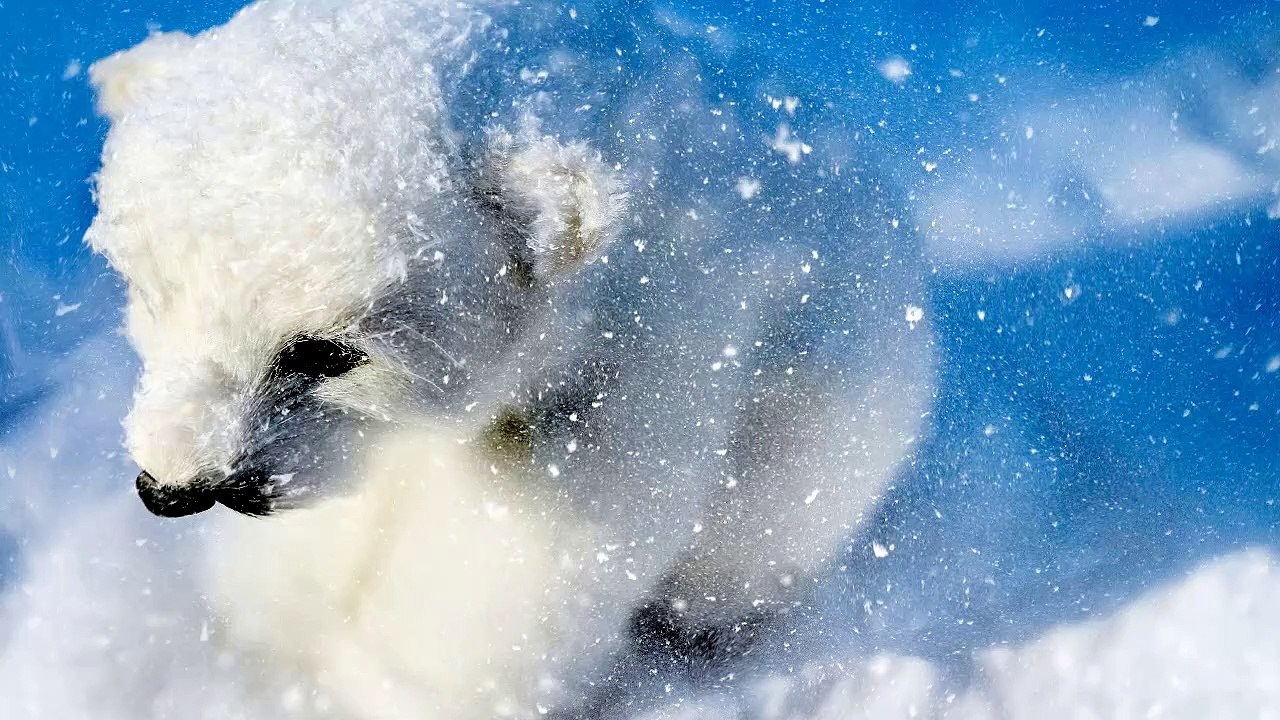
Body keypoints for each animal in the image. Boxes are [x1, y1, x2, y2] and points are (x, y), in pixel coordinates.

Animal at [85, 0, 935, 716]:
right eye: (150, 292)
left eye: (325, 351)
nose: (173, 489)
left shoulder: (640, 361)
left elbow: (523, 559)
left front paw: (400, 683)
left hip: (830, 418)